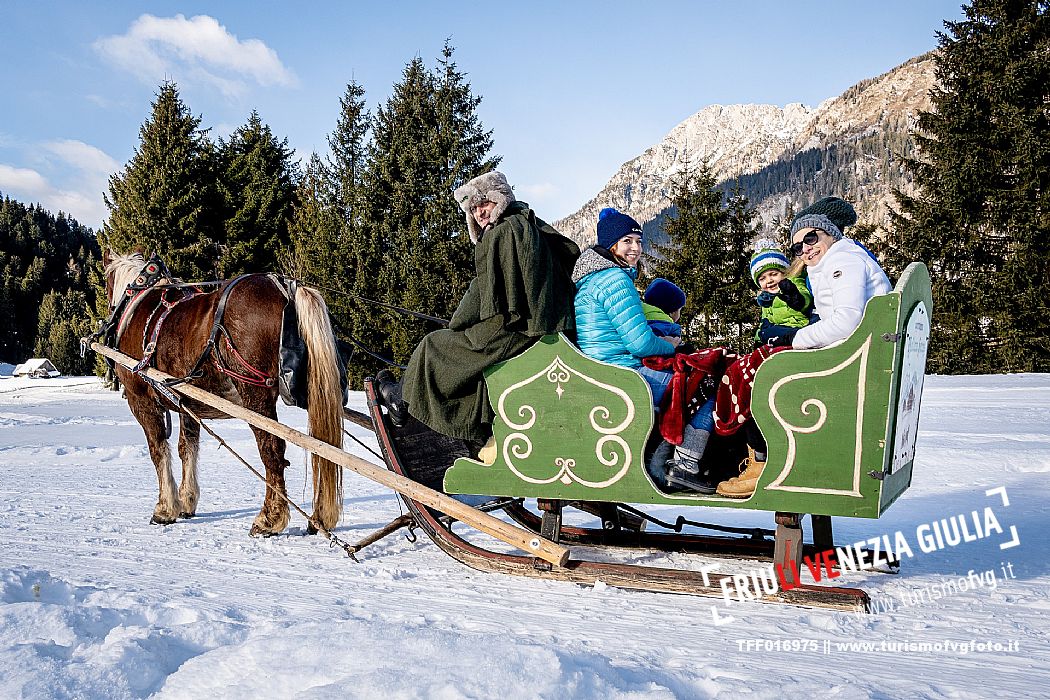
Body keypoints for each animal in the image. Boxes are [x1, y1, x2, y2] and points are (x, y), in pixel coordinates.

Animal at [101, 251, 342, 537]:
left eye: (106, 285)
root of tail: (286, 291)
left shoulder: (140, 399)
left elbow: (158, 449)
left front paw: (165, 508)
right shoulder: (186, 403)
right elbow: (186, 448)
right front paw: (187, 501)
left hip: (255, 395)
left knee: (272, 450)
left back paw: (270, 518)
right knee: (321, 447)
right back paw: (318, 517)